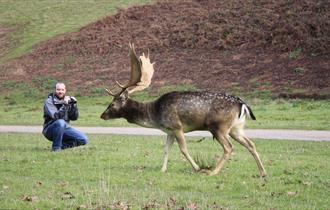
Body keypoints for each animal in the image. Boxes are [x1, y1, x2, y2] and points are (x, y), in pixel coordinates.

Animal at [100, 44, 266, 177]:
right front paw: (162, 169)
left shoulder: (177, 126)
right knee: (251, 144)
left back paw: (212, 172)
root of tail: (242, 104)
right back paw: (263, 172)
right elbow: (166, 149)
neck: (155, 115)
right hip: (236, 128)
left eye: (112, 103)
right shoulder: (169, 131)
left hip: (219, 127)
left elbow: (183, 149)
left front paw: (197, 168)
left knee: (228, 147)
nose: (102, 115)